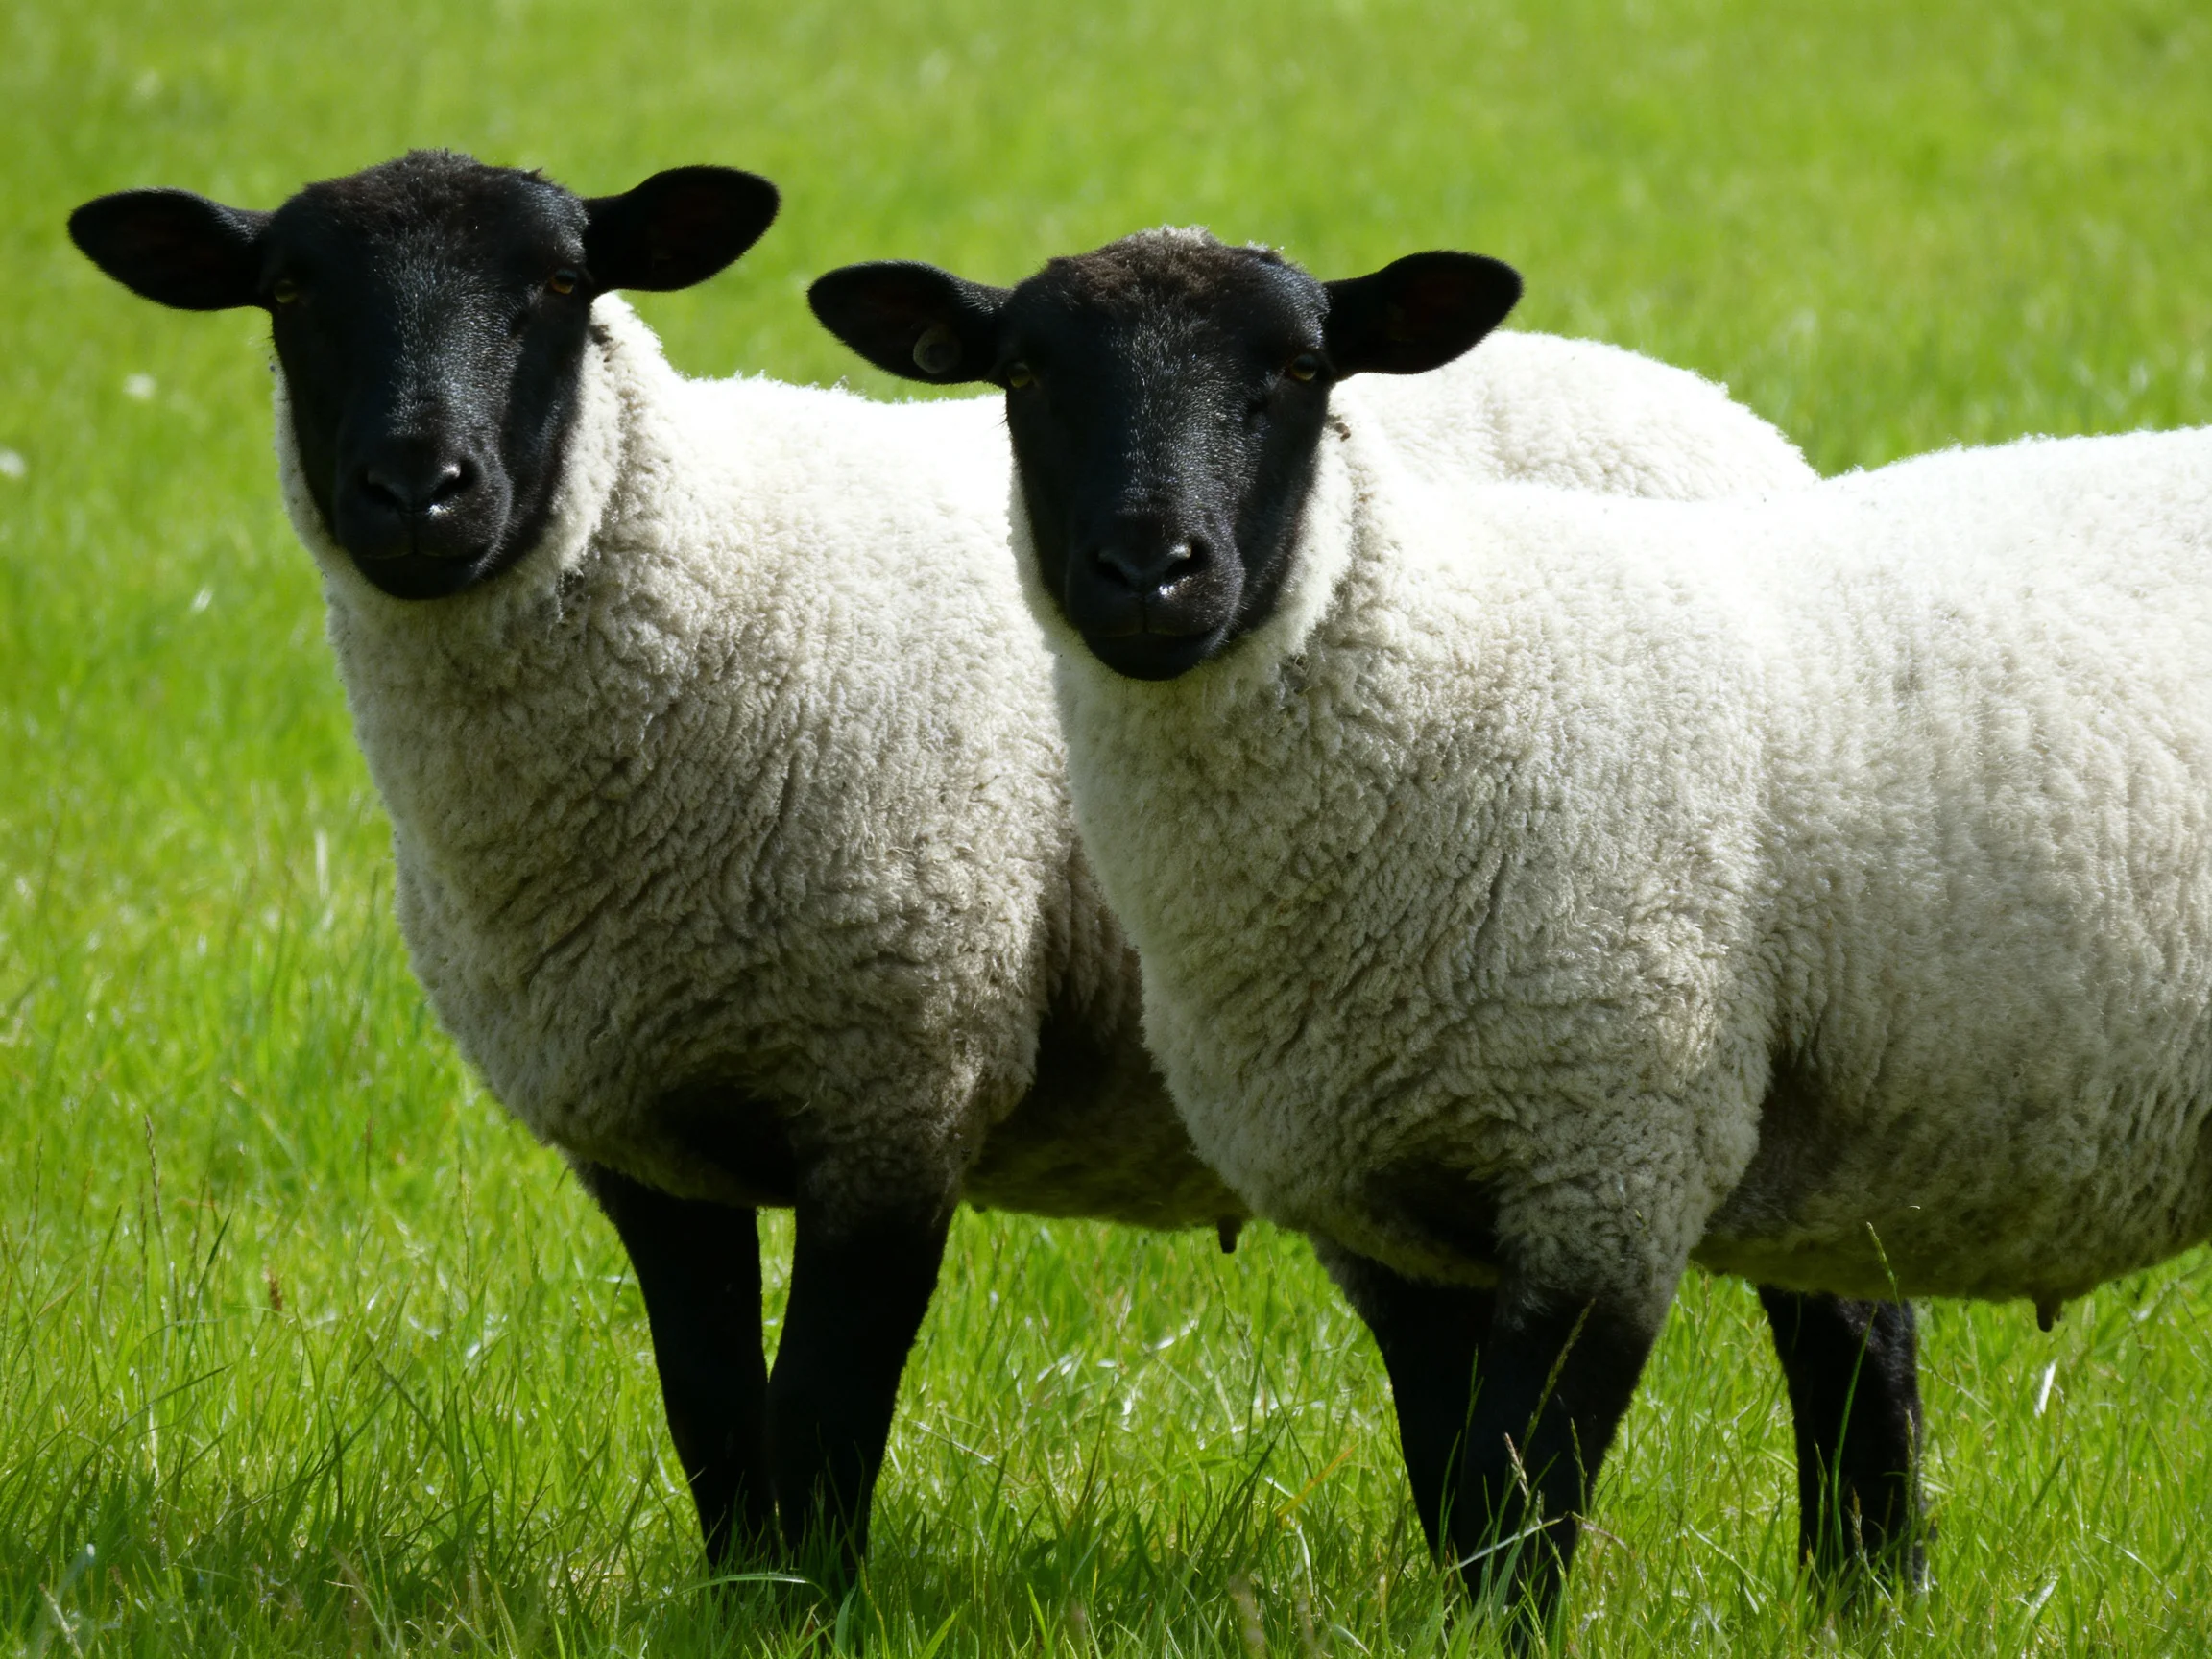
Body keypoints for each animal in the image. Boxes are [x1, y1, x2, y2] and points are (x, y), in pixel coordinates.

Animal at [71, 158, 1813, 1592]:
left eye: (561, 283)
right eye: (292, 291)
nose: (420, 493)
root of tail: (1725, 414)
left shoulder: (896, 1079)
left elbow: (826, 1419)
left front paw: (801, 1612)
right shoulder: (642, 1125)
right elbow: (714, 1418)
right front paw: (737, 1608)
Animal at [809, 227, 2212, 1627]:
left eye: (1304, 367)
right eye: (1024, 374)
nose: (1152, 573)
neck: (1451, 679)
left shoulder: (1605, 1166)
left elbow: (1523, 1497)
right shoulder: (1384, 1213)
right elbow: (1456, 1485)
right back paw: (1869, 1604)